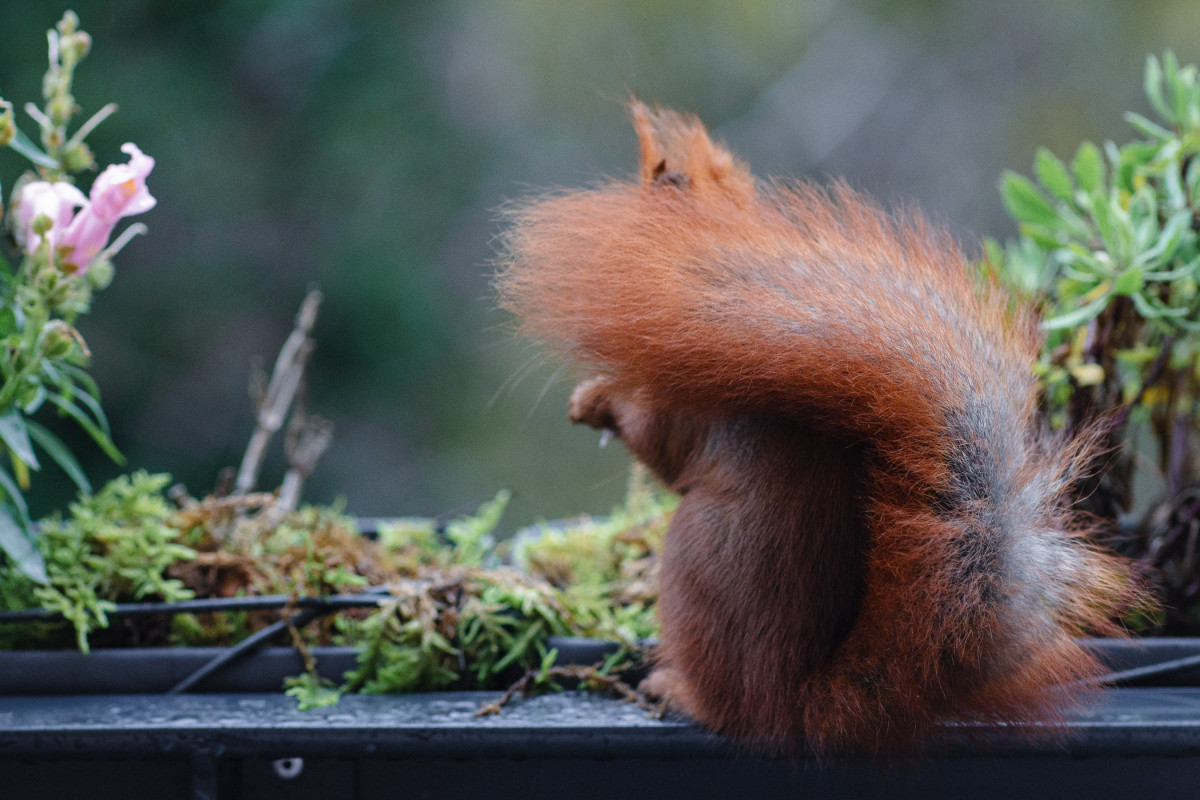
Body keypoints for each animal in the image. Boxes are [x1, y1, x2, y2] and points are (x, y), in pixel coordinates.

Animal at [496, 103, 1142, 753]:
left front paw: (593, 400)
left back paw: (673, 691)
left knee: (726, 709)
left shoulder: (687, 402)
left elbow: (658, 443)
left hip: (690, 573)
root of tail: (799, 704)